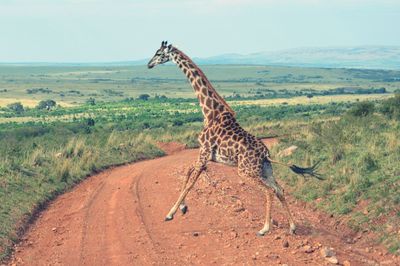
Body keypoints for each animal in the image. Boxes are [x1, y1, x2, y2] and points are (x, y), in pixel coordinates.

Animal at [147, 41, 322, 235]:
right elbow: (187, 173)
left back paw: (264, 228)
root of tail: (266, 154)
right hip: (264, 170)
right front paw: (183, 208)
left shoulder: (204, 154)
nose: (149, 64)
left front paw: (170, 214)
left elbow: (190, 183)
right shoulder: (205, 157)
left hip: (245, 171)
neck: (209, 112)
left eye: (158, 53)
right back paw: (292, 226)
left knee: (268, 191)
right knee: (279, 189)